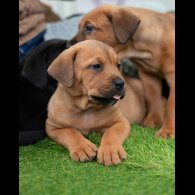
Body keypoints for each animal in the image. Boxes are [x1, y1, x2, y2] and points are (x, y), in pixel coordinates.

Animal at [67, 4, 175, 139]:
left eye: (89, 27)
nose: (67, 45)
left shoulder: (172, 75)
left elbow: (171, 106)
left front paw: (167, 130)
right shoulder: (148, 75)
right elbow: (153, 98)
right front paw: (153, 120)